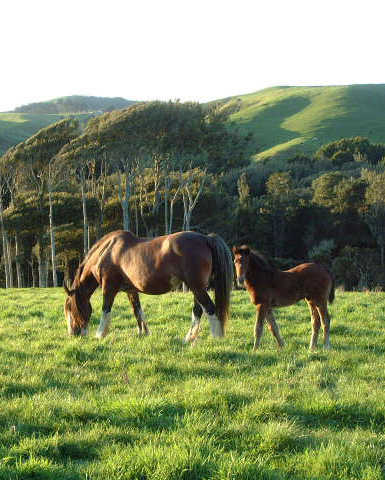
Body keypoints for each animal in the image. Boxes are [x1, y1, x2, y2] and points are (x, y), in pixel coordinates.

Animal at [63, 229, 231, 342]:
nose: (73, 333)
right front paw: (143, 332)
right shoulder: (131, 290)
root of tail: (206, 239)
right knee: (198, 311)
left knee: (210, 309)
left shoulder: (109, 287)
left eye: (70, 308)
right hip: (198, 288)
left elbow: (106, 310)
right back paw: (188, 338)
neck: (108, 251)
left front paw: (99, 335)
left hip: (196, 287)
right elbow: (137, 311)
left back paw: (217, 337)